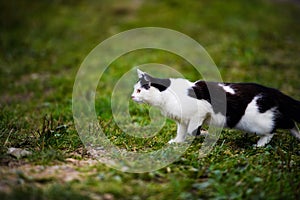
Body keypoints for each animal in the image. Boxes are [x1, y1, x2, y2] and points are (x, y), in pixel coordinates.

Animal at [131, 69, 300, 147]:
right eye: (134, 90)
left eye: (139, 90)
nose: (132, 96)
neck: (168, 96)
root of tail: (272, 90)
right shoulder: (183, 121)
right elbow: (182, 132)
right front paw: (177, 142)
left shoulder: (201, 111)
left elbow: (193, 130)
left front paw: (204, 134)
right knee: (289, 121)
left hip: (256, 122)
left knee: (276, 127)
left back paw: (260, 144)